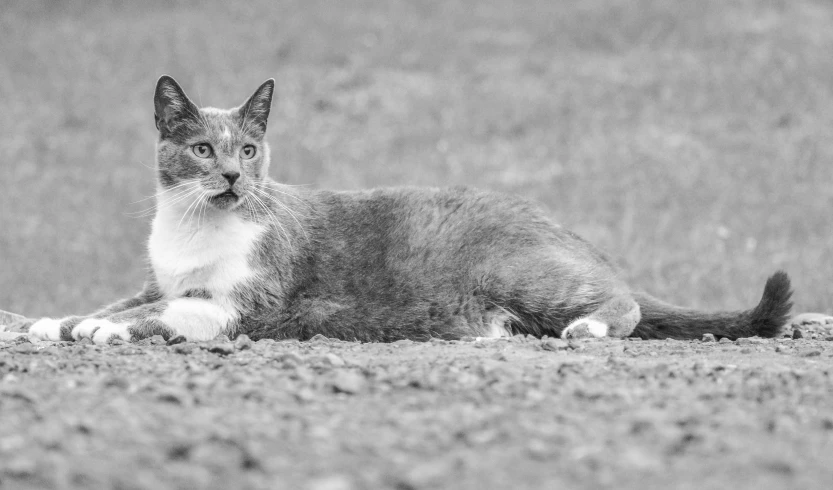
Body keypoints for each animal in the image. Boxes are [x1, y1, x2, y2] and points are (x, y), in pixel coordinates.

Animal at [27, 76, 792, 344]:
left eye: (248, 149)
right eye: (200, 149)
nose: (233, 178)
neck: (194, 229)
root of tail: (561, 227)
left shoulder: (243, 302)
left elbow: (161, 309)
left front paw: (101, 330)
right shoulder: (159, 278)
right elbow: (126, 297)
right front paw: (53, 321)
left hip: (520, 272)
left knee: (623, 302)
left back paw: (587, 329)